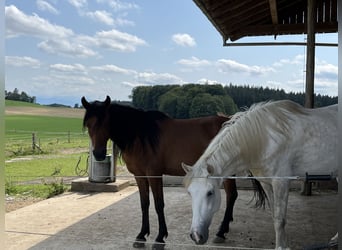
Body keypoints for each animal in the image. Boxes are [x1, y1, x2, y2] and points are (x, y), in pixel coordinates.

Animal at [82, 95, 244, 248]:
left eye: (104, 122)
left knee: (231, 195)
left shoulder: (154, 174)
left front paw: (160, 237)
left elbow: (159, 204)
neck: (140, 136)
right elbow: (144, 203)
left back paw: (221, 232)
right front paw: (141, 236)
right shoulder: (139, 176)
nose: (98, 154)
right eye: (88, 124)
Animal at [183, 100, 338, 250]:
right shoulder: (267, 183)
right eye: (190, 193)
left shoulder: (281, 182)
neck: (266, 139)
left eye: (210, 193)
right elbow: (275, 217)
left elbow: (280, 220)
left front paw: (280, 247)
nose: (196, 236)